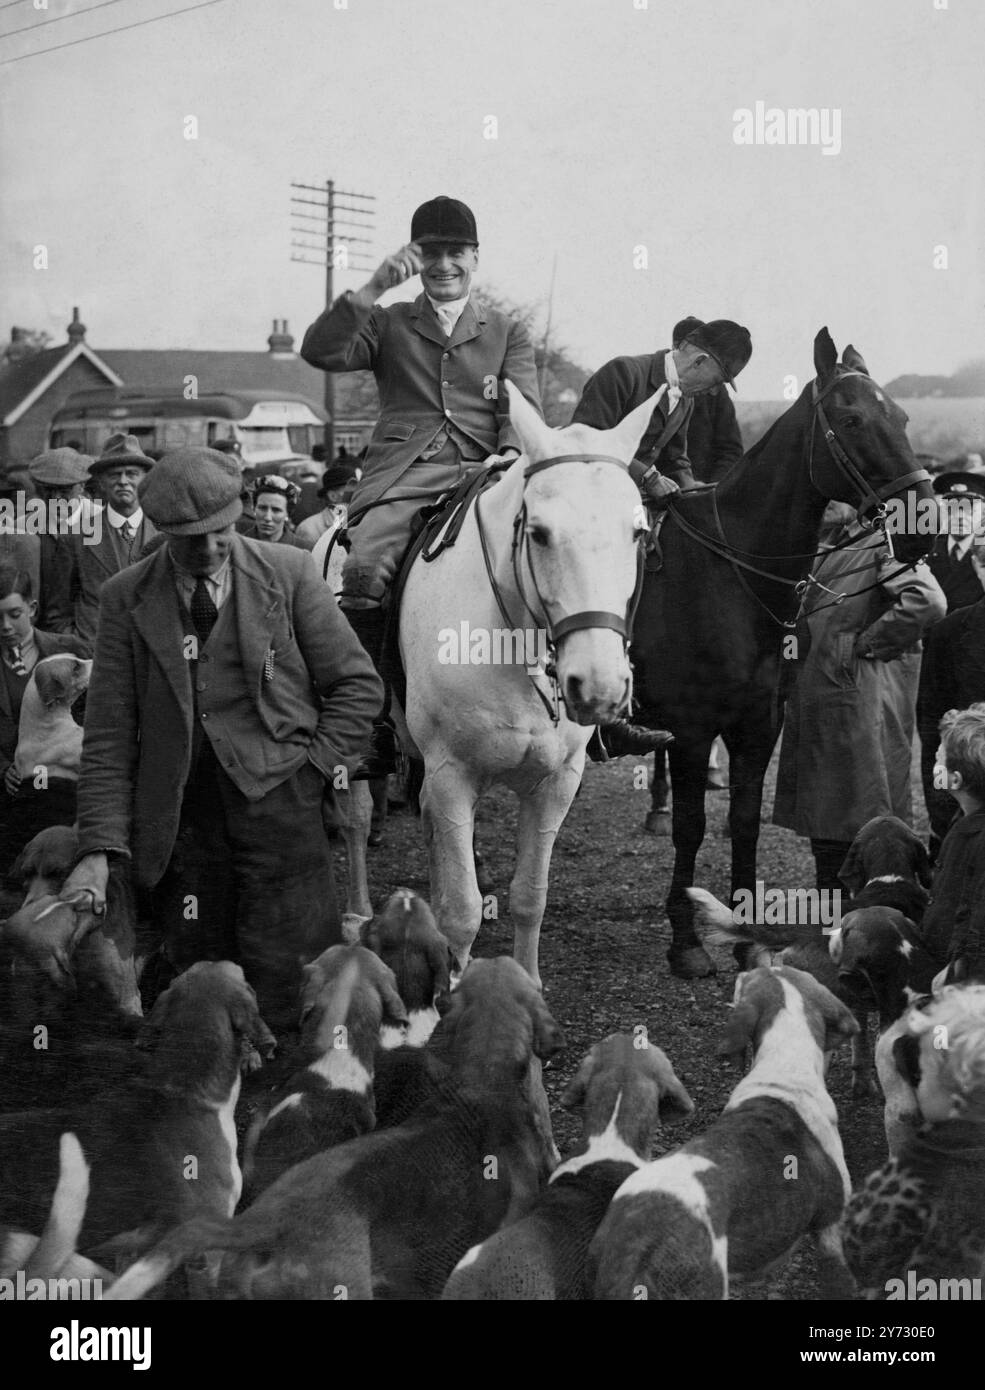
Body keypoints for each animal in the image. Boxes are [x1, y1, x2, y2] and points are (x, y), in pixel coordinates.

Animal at [336, 380, 661, 989]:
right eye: (539, 534)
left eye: (638, 532)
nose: (598, 686)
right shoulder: (453, 774)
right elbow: (464, 911)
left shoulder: (556, 783)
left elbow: (529, 896)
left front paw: (525, 986)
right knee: (357, 820)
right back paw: (357, 919)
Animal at [630, 328, 939, 978]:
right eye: (851, 419)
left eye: (901, 416)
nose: (926, 524)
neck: (727, 573)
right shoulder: (692, 727)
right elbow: (693, 827)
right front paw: (686, 941)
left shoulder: (759, 723)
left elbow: (743, 822)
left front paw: (745, 935)